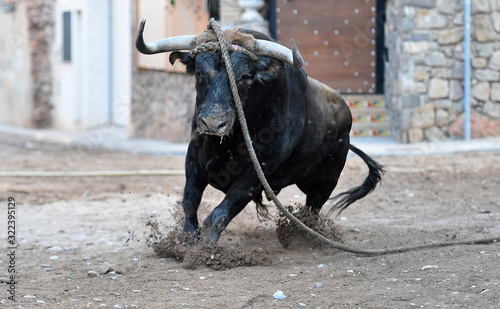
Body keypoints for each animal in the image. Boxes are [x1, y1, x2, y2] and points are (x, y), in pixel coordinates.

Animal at [139, 27, 380, 243]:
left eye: (245, 76)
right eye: (199, 73)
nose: (213, 124)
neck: (229, 142)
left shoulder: (257, 174)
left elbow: (221, 212)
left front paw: (206, 250)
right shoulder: (193, 157)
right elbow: (190, 202)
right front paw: (187, 242)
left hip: (326, 181)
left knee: (312, 210)